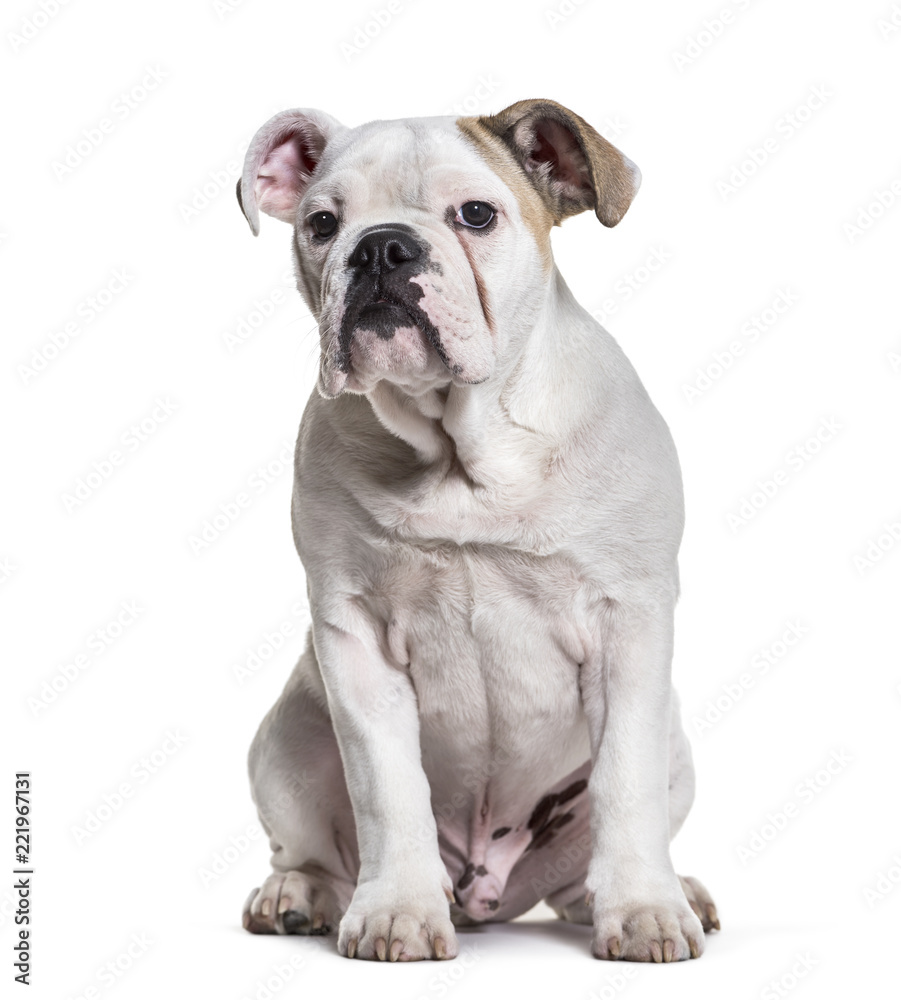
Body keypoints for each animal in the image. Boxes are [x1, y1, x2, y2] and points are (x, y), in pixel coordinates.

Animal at [234, 99, 716, 960]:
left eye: (476, 215)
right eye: (322, 224)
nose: (382, 246)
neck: (463, 450)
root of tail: (484, 889)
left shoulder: (627, 622)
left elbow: (624, 784)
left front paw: (645, 912)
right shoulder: (354, 635)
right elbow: (385, 788)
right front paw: (395, 911)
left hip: (674, 752)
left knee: (584, 869)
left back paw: (657, 894)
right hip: (286, 739)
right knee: (313, 844)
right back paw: (299, 894)